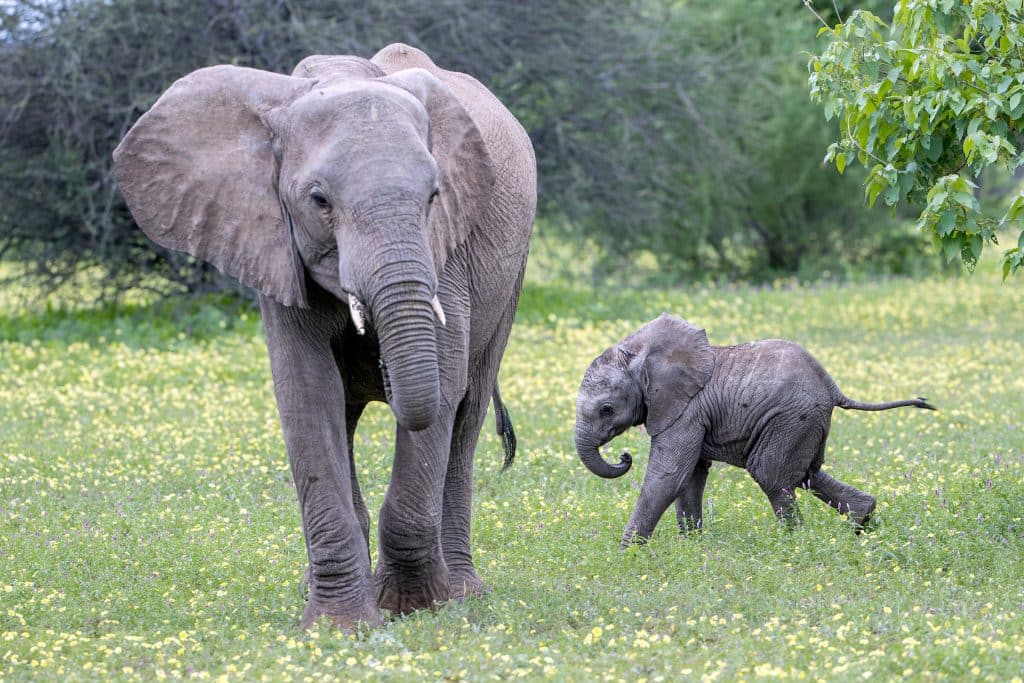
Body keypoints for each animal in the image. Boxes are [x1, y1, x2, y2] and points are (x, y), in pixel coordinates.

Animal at [114, 44, 536, 630]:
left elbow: (445, 386)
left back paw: (462, 594)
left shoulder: (449, 248)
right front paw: (341, 627)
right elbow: (308, 394)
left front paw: (410, 608)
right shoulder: (272, 241)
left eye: (434, 195)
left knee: (468, 409)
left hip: (511, 276)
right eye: (318, 200)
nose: (381, 366)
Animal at [577, 313, 937, 544]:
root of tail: (833, 387)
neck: (640, 354)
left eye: (606, 409)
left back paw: (794, 545)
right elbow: (691, 475)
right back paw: (863, 524)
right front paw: (691, 547)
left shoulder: (685, 410)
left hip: (790, 418)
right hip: (803, 422)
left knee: (771, 473)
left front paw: (628, 553)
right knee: (806, 474)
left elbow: (669, 475)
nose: (624, 457)